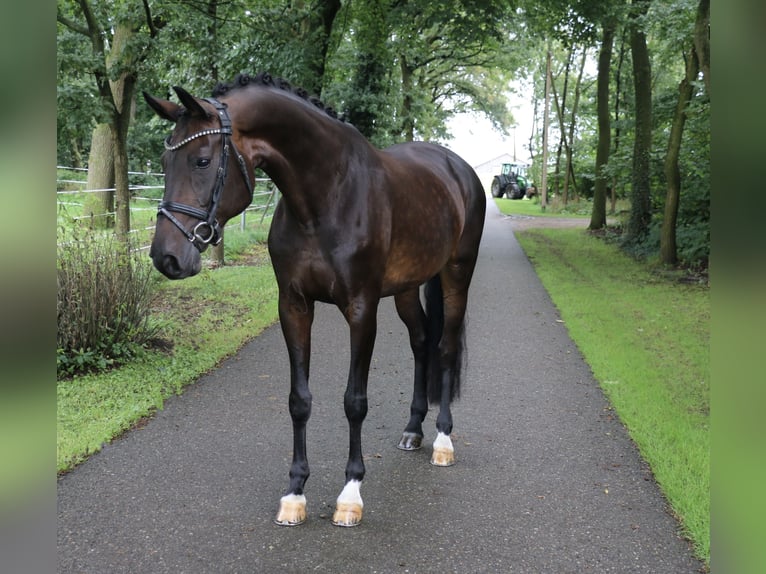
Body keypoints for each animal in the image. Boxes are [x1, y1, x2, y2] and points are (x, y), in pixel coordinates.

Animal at [144, 70, 486, 528]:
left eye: (201, 160)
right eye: (165, 165)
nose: (166, 257)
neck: (325, 197)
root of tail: (458, 168)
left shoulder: (361, 310)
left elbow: (354, 402)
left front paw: (350, 495)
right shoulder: (294, 306)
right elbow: (299, 400)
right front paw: (295, 494)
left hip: (456, 274)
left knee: (445, 348)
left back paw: (443, 441)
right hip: (406, 288)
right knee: (420, 343)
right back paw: (414, 429)